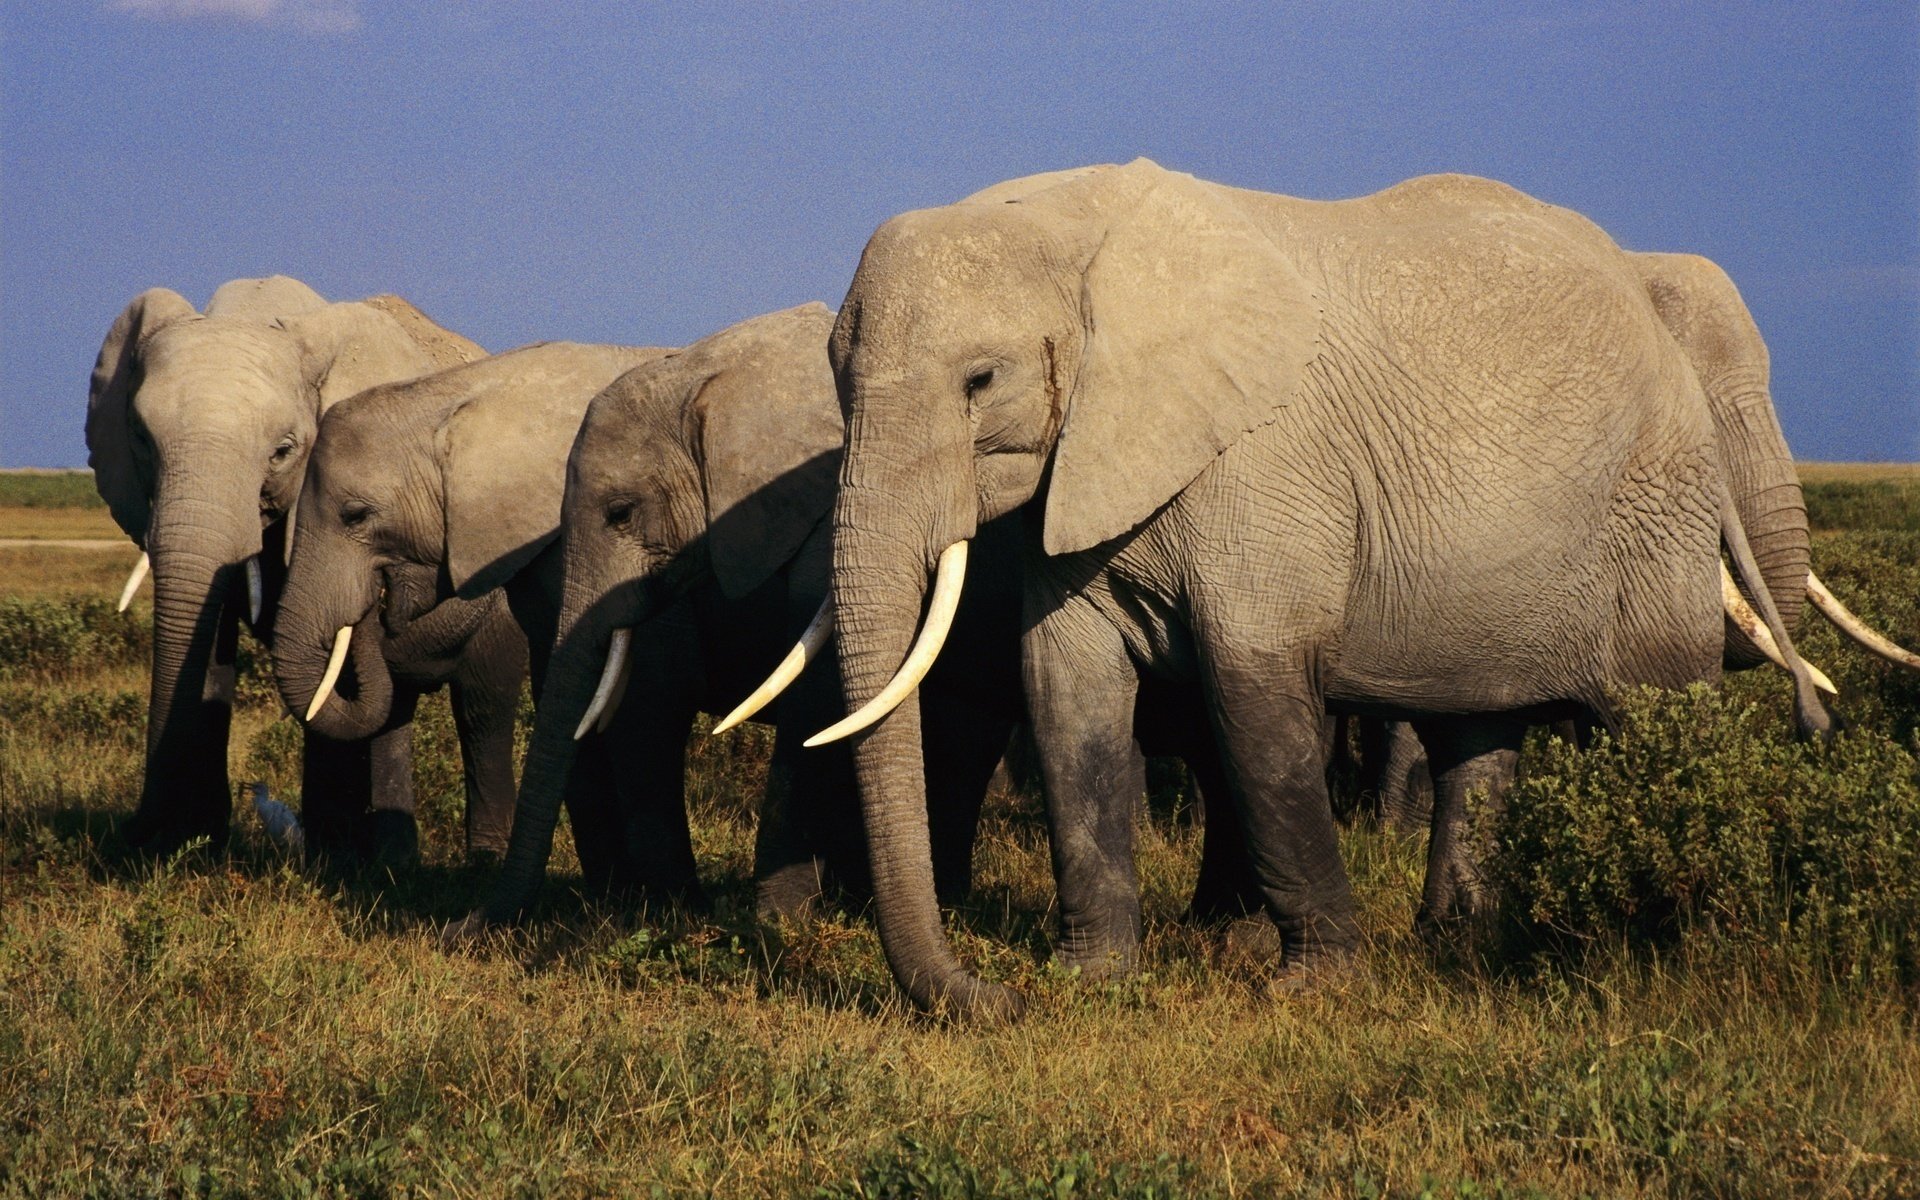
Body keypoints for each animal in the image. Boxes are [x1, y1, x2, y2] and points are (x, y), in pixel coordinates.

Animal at [85, 275, 485, 856]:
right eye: (140, 437)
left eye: (283, 451)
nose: (137, 835)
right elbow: (210, 637)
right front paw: (193, 842)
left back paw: (376, 855)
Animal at [739, 158, 1828, 1018]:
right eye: (836, 386)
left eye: (981, 381)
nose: (992, 996)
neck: (1073, 223)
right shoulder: (1083, 466)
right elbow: (1067, 696)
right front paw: (1091, 983)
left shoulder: (1268, 470)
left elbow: (1254, 703)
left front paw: (1311, 990)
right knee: (1477, 739)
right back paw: (1459, 943)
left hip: (1651, 509)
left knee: (1655, 720)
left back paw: (1672, 944)